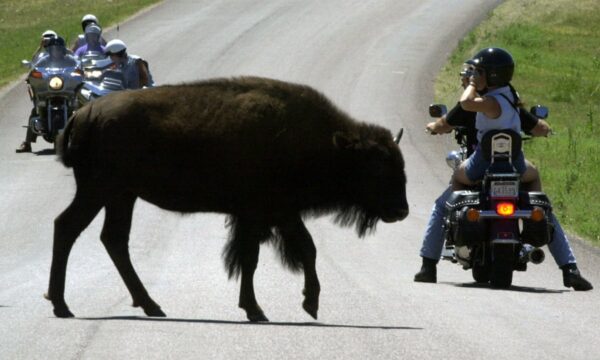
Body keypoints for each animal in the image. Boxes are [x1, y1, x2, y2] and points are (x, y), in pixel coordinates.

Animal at [47, 76, 410, 320]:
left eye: (399, 163)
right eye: (376, 168)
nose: (402, 210)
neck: (328, 145)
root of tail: (82, 115)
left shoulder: (271, 216)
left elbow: (276, 253)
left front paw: (272, 306)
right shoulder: (268, 214)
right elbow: (273, 254)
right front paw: (289, 306)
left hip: (122, 196)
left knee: (113, 239)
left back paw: (151, 305)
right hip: (99, 190)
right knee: (68, 227)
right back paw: (62, 305)